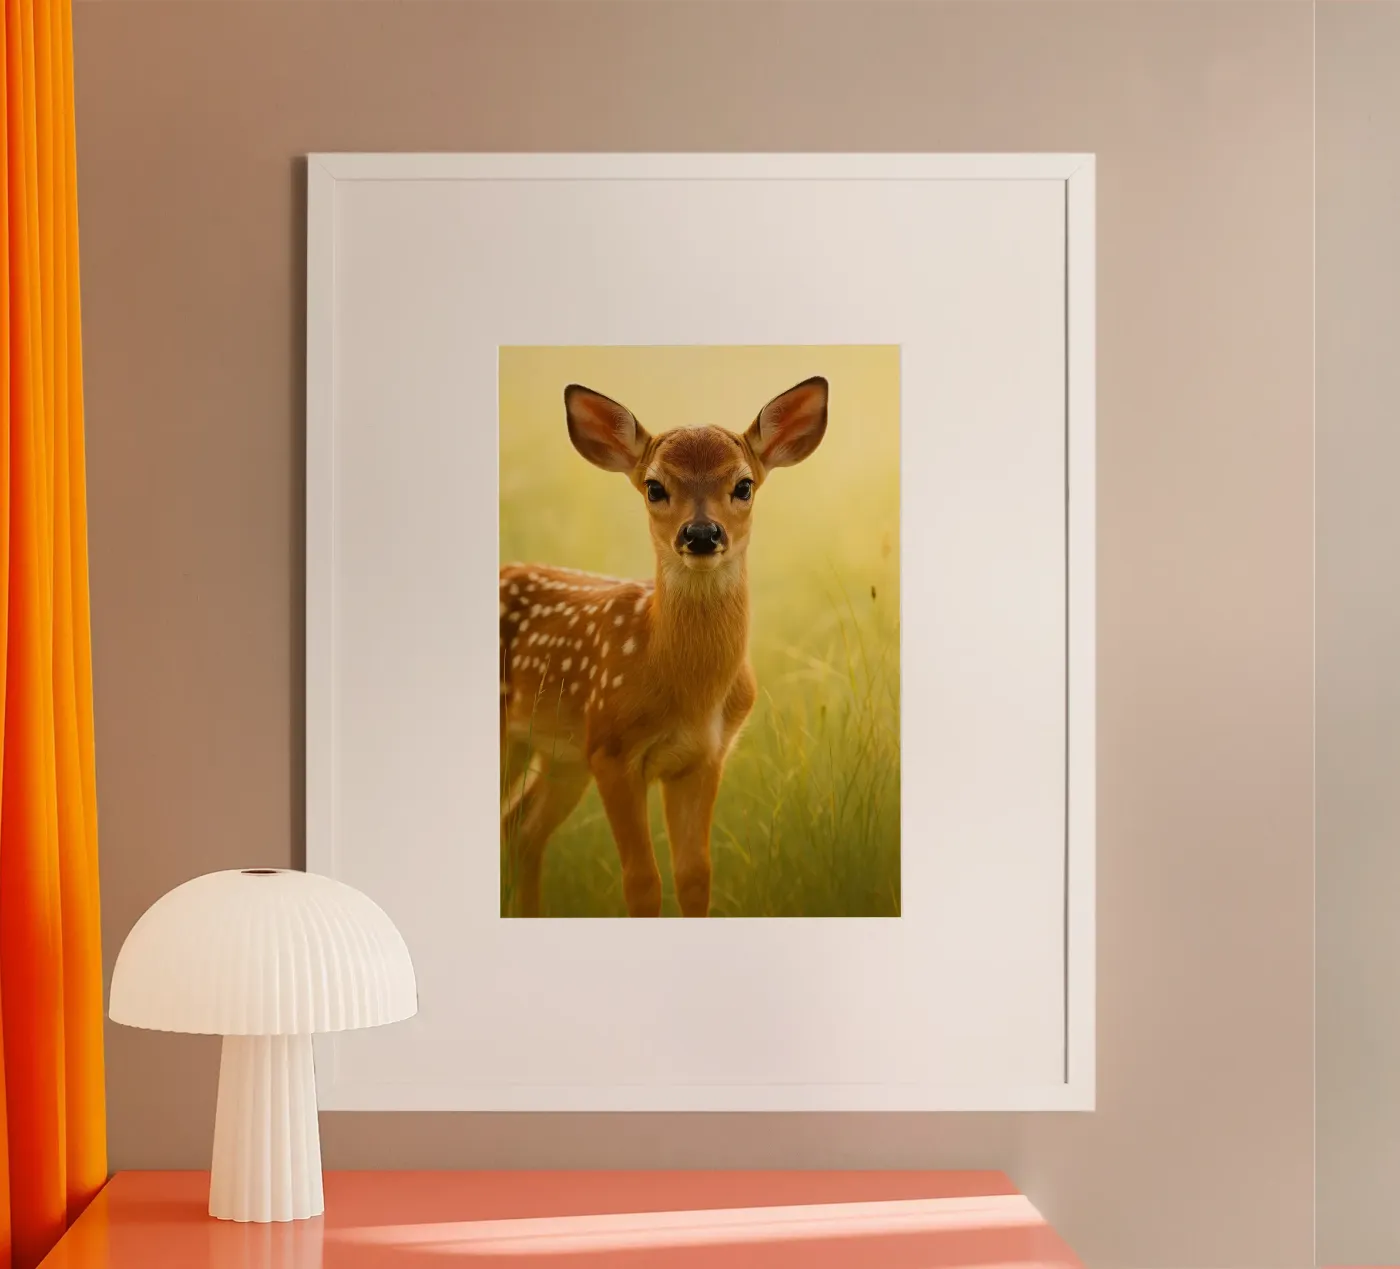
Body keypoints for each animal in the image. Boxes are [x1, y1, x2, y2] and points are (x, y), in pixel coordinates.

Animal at [499, 376, 829, 918]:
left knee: (521, 827)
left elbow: (694, 876)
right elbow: (642, 881)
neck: (687, 691)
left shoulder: (704, 758)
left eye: (744, 485)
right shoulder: (611, 750)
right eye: (655, 487)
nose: (701, 533)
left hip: (561, 755)